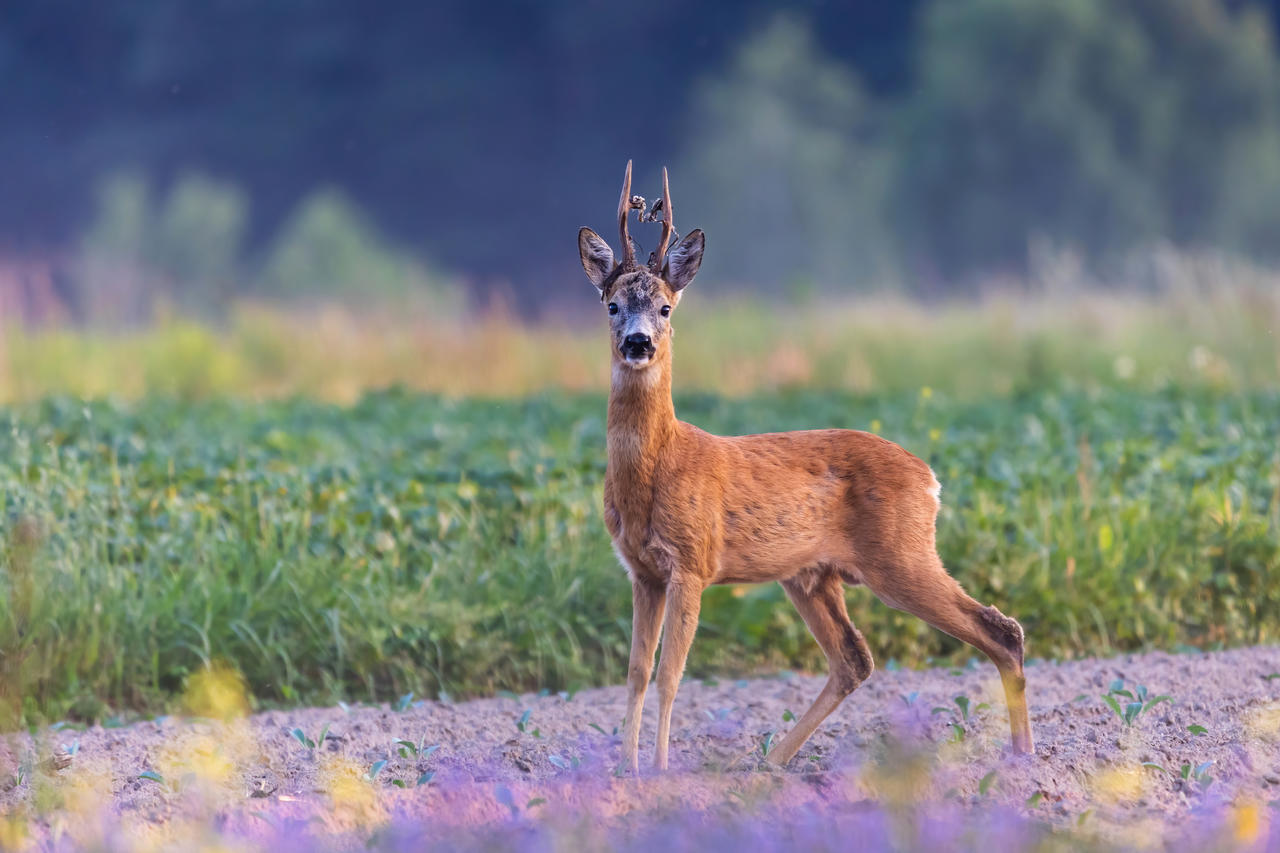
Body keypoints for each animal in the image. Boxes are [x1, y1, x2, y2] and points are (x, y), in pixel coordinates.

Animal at [576, 159, 1034, 768]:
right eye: (612, 305)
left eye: (666, 307)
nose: (638, 343)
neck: (657, 467)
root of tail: (930, 479)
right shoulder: (642, 571)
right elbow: (636, 673)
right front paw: (625, 769)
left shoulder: (693, 562)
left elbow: (672, 675)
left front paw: (659, 770)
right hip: (811, 575)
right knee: (854, 658)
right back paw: (769, 764)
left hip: (902, 556)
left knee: (1000, 629)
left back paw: (1025, 760)